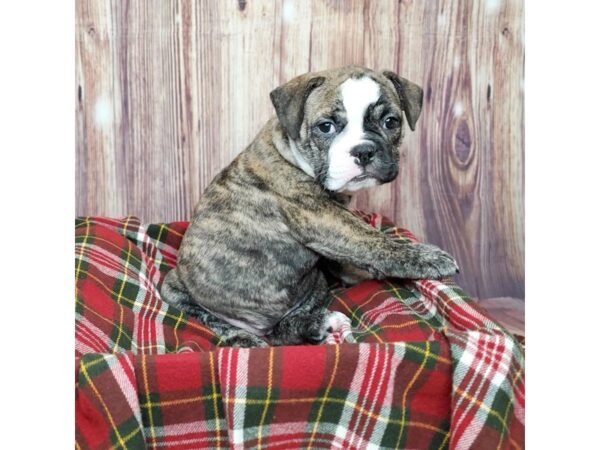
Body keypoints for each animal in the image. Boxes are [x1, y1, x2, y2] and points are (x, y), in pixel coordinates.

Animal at [162, 65, 458, 346]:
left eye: (390, 122)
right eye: (325, 127)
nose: (363, 151)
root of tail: (262, 327)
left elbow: (350, 255)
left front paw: (360, 273)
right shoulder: (323, 216)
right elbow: (371, 240)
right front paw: (425, 258)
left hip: (314, 285)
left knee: (285, 330)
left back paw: (316, 325)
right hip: (174, 288)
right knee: (215, 319)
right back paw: (247, 337)